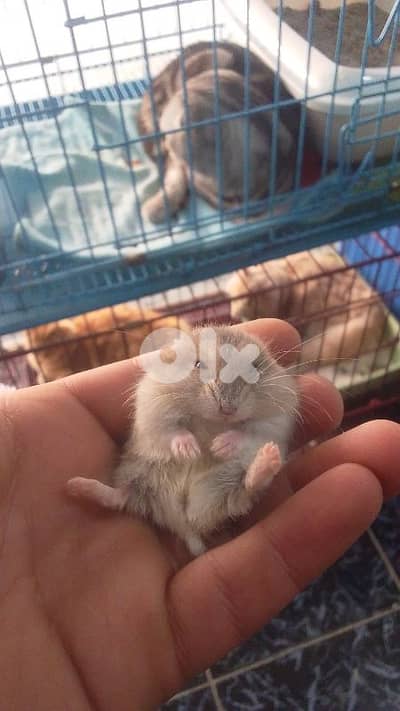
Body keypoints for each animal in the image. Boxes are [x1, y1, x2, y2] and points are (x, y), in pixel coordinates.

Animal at [67, 326, 298, 556]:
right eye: (198, 365)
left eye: (254, 368)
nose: (228, 409)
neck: (211, 421)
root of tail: (185, 522)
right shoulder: (154, 405)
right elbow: (172, 430)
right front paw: (191, 451)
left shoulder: (277, 419)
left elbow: (249, 432)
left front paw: (218, 446)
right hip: (138, 473)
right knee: (120, 497)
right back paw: (74, 485)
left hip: (229, 483)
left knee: (247, 487)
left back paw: (267, 458)